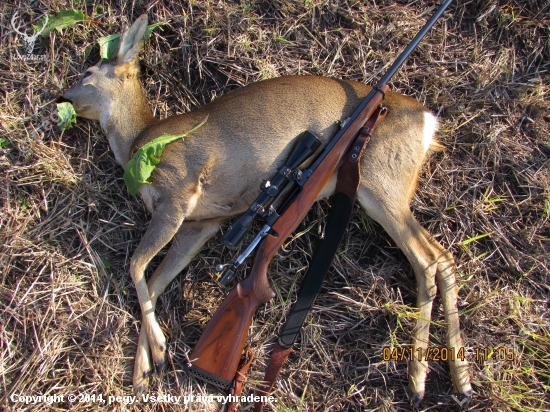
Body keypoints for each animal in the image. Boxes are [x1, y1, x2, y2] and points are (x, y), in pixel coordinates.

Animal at [62, 13, 472, 406]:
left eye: (88, 72)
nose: (60, 97)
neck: (139, 141)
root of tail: (427, 120)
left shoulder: (178, 193)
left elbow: (136, 265)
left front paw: (159, 354)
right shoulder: (203, 222)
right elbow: (156, 280)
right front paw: (143, 373)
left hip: (381, 183)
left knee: (429, 258)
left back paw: (422, 382)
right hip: (387, 188)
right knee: (440, 256)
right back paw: (459, 381)